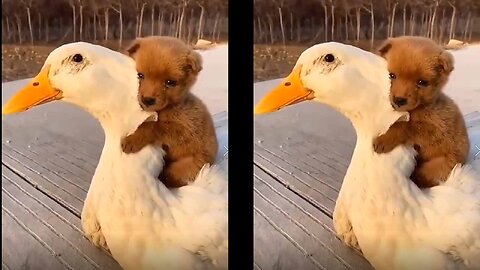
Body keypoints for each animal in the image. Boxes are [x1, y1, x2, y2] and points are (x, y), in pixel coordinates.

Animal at [121, 35, 218, 188]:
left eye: (170, 82)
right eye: (140, 75)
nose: (147, 100)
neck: (170, 107)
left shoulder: (185, 130)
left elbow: (153, 125)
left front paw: (132, 140)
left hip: (187, 165)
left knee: (171, 177)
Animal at [374, 35, 470, 188]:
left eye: (422, 82)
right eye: (392, 75)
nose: (399, 100)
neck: (423, 106)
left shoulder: (436, 129)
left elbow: (405, 125)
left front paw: (384, 140)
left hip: (440, 165)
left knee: (423, 177)